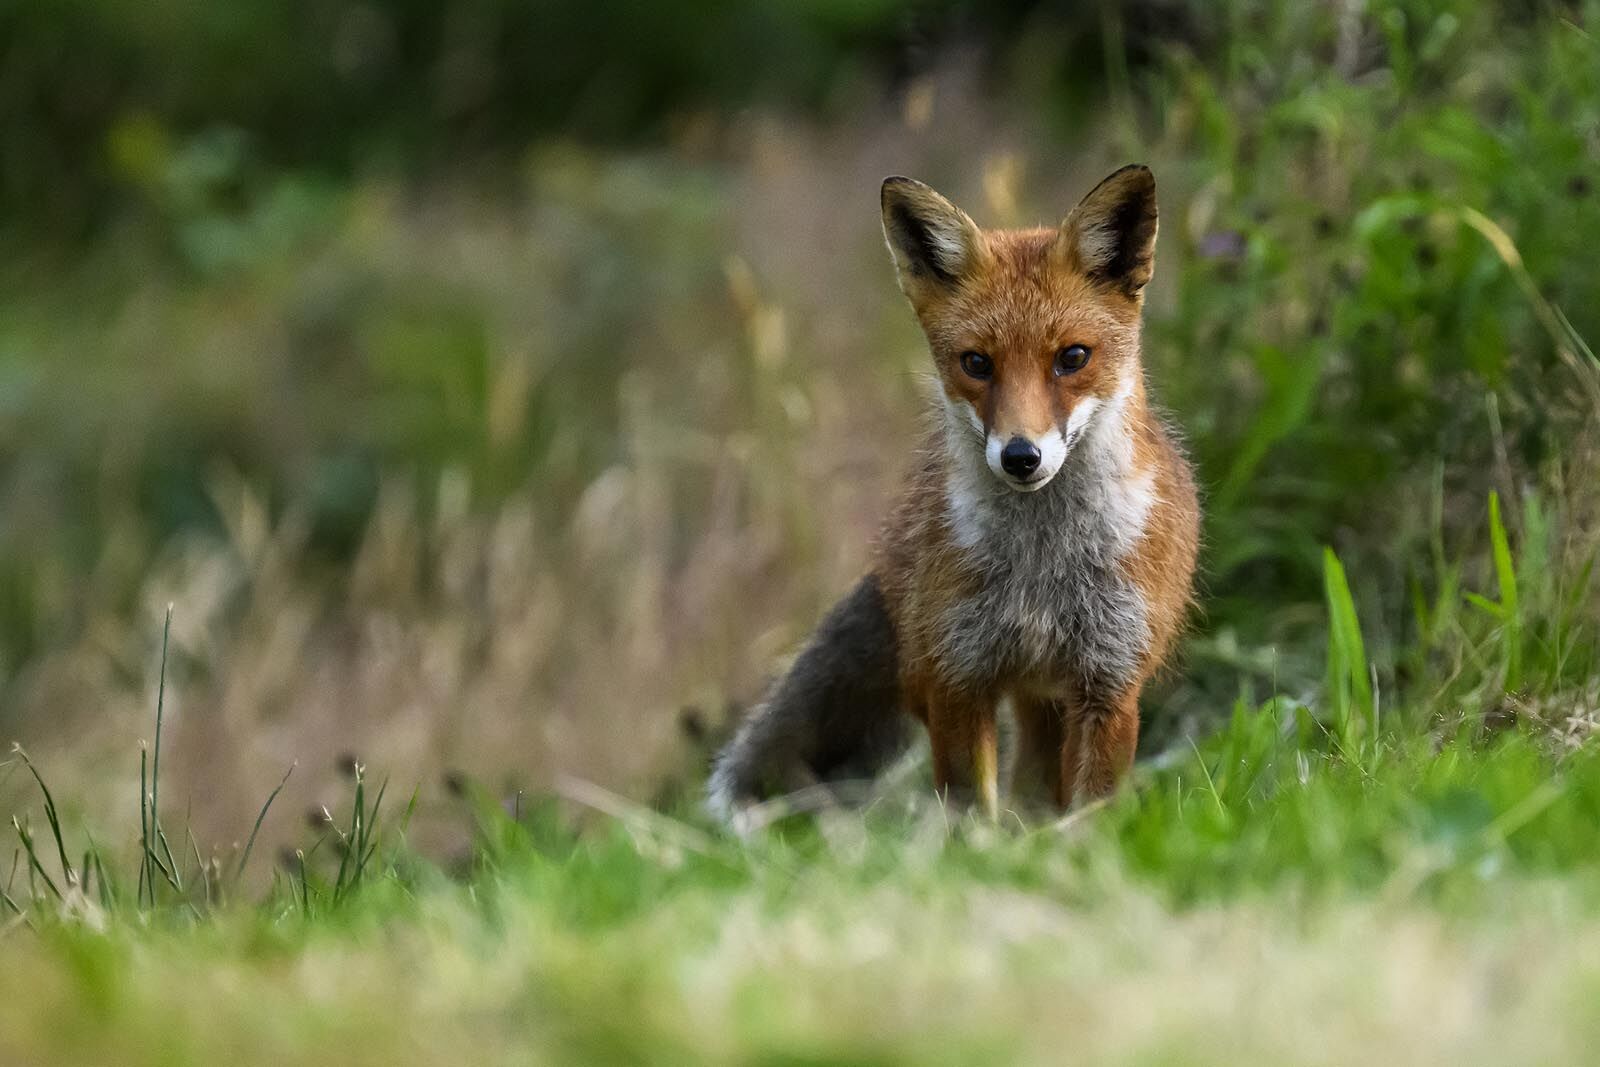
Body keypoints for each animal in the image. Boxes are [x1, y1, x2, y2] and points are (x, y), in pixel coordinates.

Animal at [708, 164, 1199, 823]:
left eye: (1073, 358)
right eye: (976, 363)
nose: (1021, 456)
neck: (1042, 565)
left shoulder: (1110, 682)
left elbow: (1094, 807)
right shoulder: (957, 679)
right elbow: (969, 808)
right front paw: (982, 847)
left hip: (1053, 696)